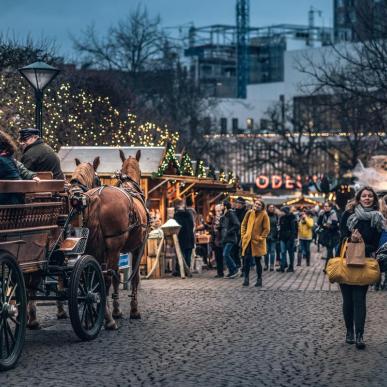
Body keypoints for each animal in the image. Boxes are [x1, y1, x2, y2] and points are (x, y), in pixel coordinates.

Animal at [69, 150, 149, 328]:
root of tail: (98, 197)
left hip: (92, 246)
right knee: (106, 276)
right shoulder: (137, 248)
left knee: (94, 277)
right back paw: (108, 320)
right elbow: (134, 278)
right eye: (141, 172)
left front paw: (116, 310)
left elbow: (116, 277)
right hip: (114, 246)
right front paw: (133, 310)